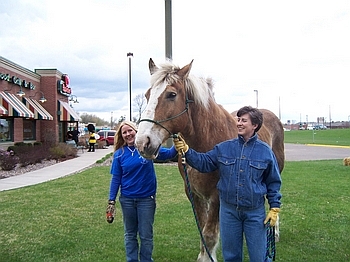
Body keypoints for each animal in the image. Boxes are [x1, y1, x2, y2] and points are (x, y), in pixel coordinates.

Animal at [135, 58, 284, 262]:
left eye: (171, 94)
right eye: (148, 94)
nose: (142, 142)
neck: (207, 141)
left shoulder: (217, 196)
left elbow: (209, 234)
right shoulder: (194, 193)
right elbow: (203, 230)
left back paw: (273, 230)